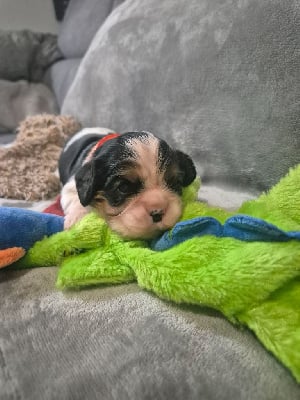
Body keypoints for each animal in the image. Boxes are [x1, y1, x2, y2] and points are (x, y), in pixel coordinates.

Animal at [58, 128, 197, 239]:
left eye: (175, 183)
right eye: (123, 188)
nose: (158, 212)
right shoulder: (71, 185)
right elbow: (77, 199)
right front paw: (76, 219)